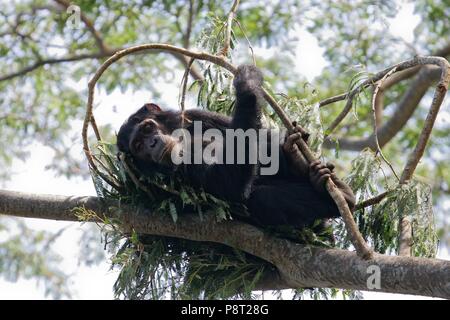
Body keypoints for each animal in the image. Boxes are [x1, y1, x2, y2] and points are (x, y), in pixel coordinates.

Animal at [117, 65, 356, 228]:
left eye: (148, 128)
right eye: (138, 146)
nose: (152, 143)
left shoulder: (198, 115)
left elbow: (245, 134)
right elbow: (228, 184)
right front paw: (247, 86)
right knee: (263, 197)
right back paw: (342, 197)